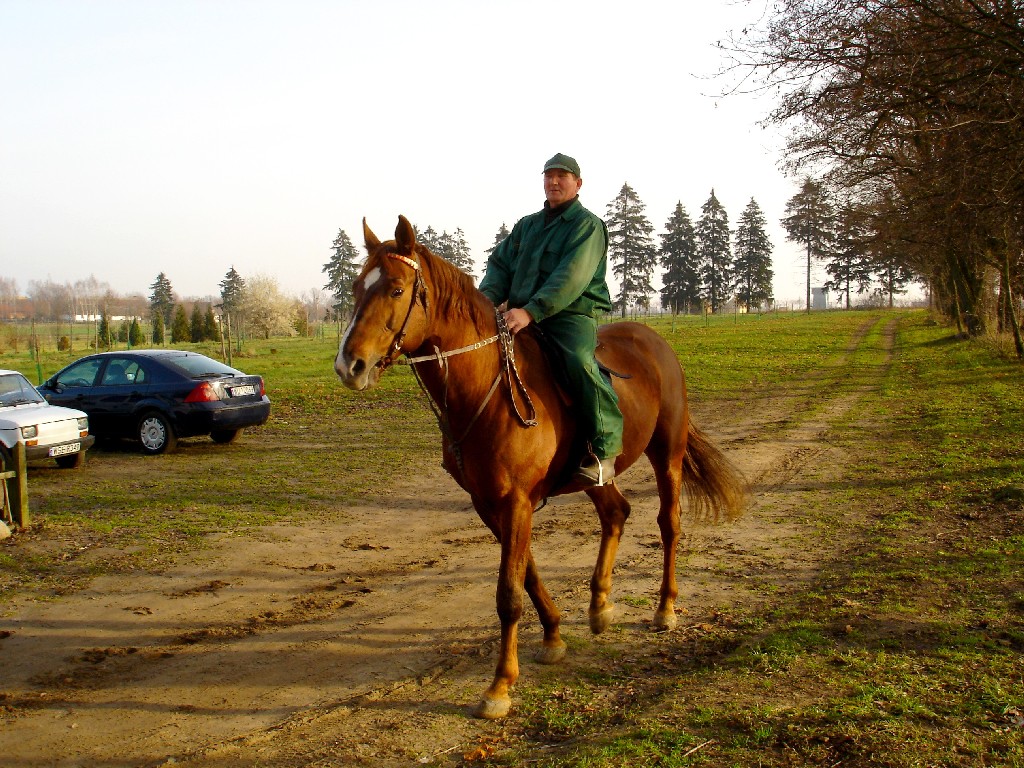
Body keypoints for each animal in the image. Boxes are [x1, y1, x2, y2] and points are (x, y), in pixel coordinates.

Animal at [335, 217, 745, 720]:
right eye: (358, 288)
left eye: (395, 289)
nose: (349, 365)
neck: (488, 387)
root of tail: (654, 342)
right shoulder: (492, 503)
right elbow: (526, 575)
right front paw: (553, 635)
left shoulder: (514, 503)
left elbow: (508, 594)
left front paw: (499, 686)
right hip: (595, 474)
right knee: (616, 513)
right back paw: (600, 606)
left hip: (667, 454)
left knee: (668, 524)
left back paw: (664, 610)